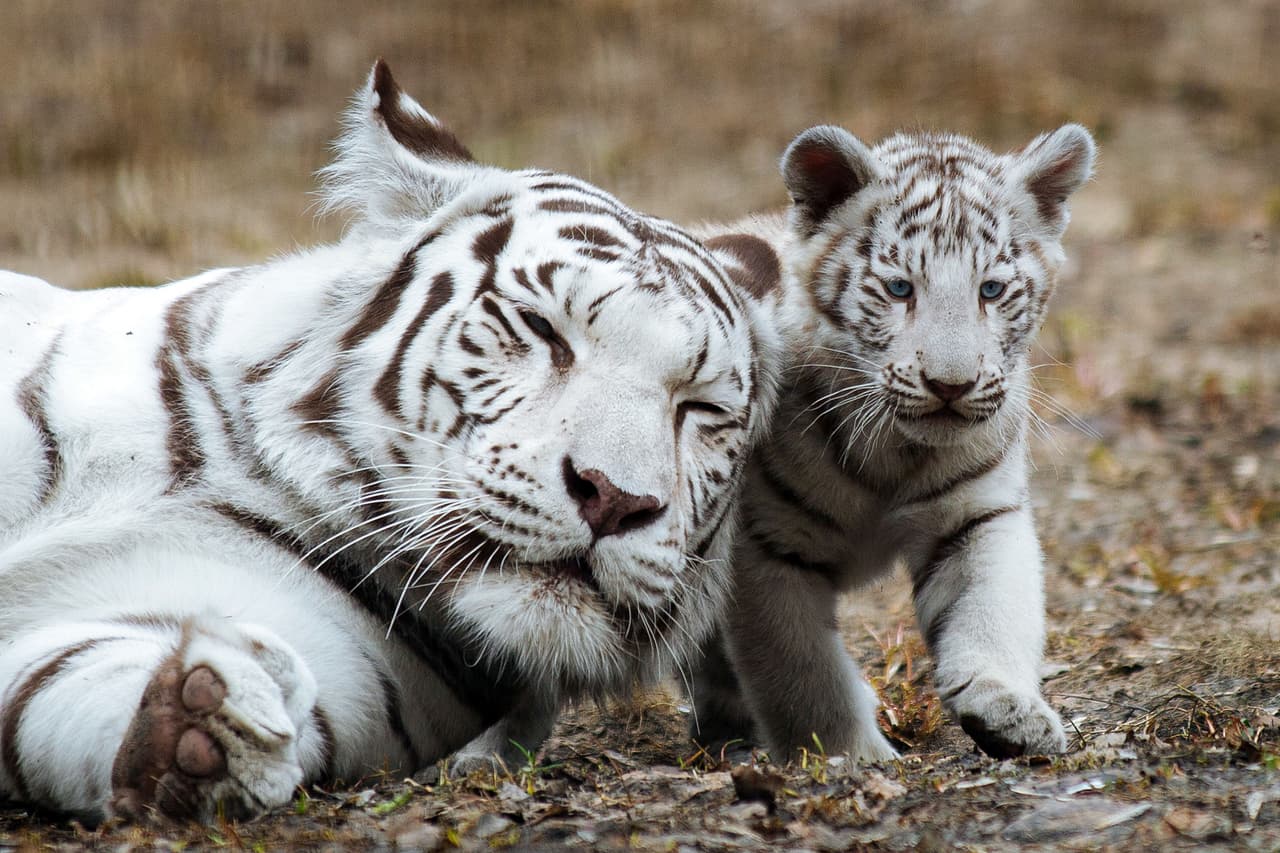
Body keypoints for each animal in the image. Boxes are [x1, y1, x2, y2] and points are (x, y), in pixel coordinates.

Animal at [0, 61, 782, 823]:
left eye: (699, 407)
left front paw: (205, 725)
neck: (259, 478)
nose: (614, 498)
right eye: (541, 329)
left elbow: (63, 680)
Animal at [691, 122, 1095, 762]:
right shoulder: (767, 547)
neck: (897, 452)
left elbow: (992, 612)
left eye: (991, 290)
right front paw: (846, 756)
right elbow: (799, 669)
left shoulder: (976, 518)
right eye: (900, 288)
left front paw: (1006, 708)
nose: (950, 386)